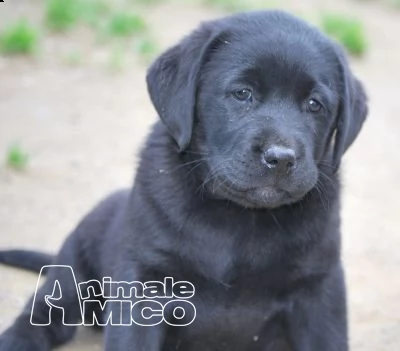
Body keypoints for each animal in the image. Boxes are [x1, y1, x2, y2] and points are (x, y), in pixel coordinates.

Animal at [0, 10, 368, 351]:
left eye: (315, 105)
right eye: (242, 93)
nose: (281, 157)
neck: (239, 217)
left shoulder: (319, 287)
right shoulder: (144, 281)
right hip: (72, 270)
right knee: (42, 315)